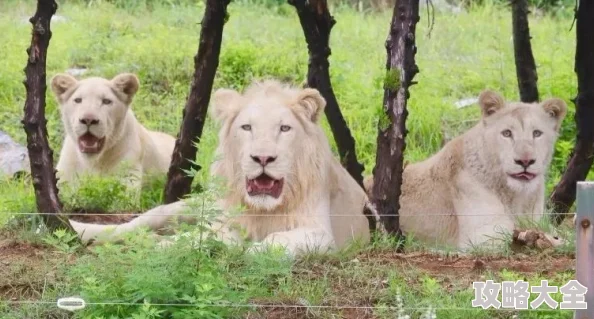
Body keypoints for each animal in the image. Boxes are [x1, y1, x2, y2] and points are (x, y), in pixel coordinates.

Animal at [68, 80, 370, 258]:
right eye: (247, 127)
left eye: (285, 128)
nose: (263, 158)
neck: (262, 209)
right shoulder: (223, 221)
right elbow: (206, 237)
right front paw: (164, 245)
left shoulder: (325, 235)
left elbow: (272, 242)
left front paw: (252, 249)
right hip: (189, 206)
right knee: (136, 223)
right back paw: (85, 230)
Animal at [366, 89, 564, 250]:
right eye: (507, 133)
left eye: (537, 133)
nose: (525, 161)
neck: (516, 196)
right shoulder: (478, 237)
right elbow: (507, 232)